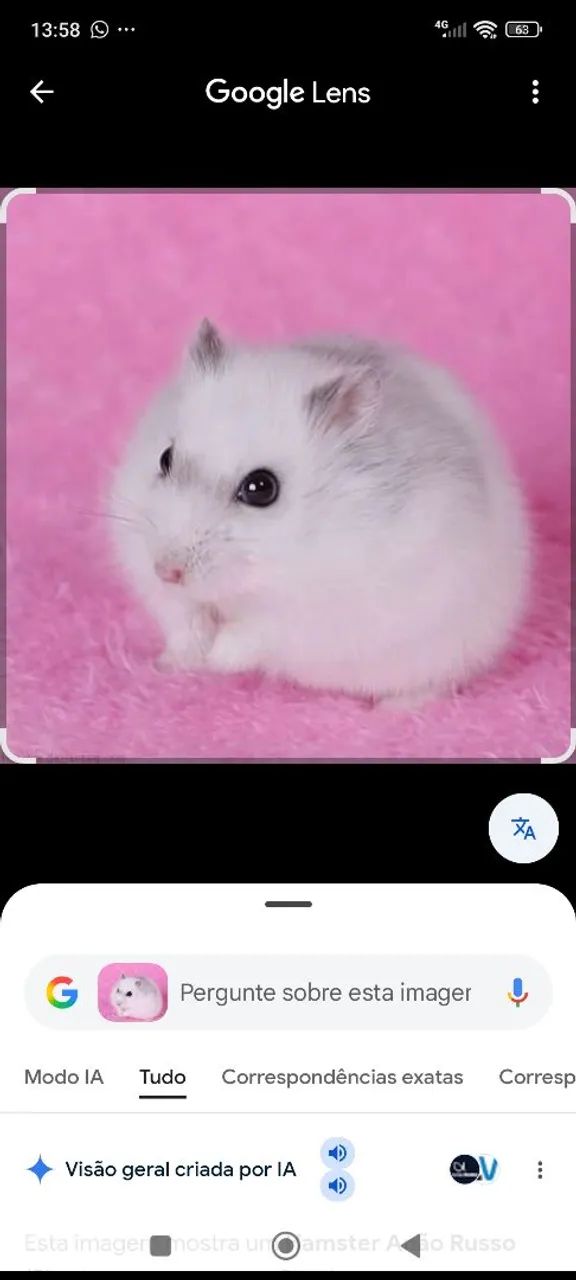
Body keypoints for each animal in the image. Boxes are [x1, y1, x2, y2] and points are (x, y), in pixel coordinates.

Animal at [110, 320, 529, 700]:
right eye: (165, 458)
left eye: (261, 488)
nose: (167, 571)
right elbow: (184, 616)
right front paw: (183, 659)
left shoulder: (323, 609)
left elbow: (257, 631)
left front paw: (216, 659)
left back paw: (394, 710)